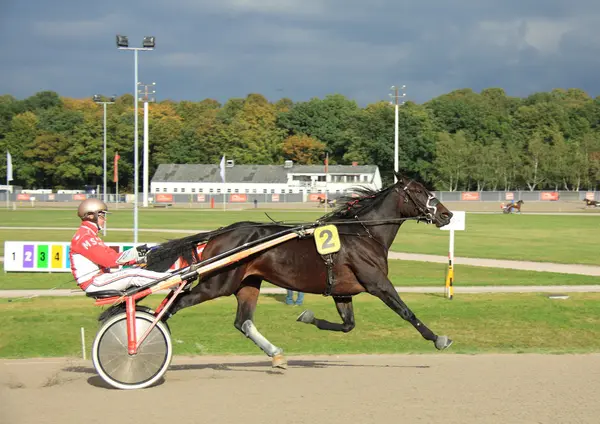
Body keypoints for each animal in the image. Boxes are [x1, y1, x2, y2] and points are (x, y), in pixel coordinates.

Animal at [145, 173, 452, 368]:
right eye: (419, 191)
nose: (446, 214)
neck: (364, 233)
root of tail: (220, 233)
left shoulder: (342, 292)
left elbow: (347, 325)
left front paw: (307, 316)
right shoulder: (377, 283)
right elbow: (406, 311)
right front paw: (438, 338)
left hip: (247, 284)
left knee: (243, 322)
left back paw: (276, 355)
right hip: (217, 284)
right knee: (175, 304)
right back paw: (145, 339)